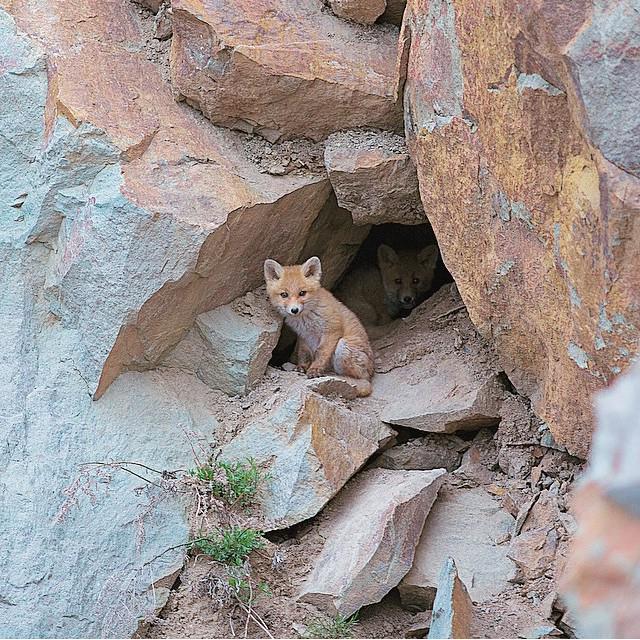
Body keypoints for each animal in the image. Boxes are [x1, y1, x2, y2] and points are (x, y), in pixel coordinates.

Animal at [264, 256, 375, 397]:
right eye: (284, 295)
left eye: (302, 293)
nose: (294, 310)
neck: (305, 319)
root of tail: (371, 374)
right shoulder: (304, 336)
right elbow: (303, 354)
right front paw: (302, 367)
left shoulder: (331, 330)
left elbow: (321, 353)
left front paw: (315, 369)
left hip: (343, 346)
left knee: (358, 379)